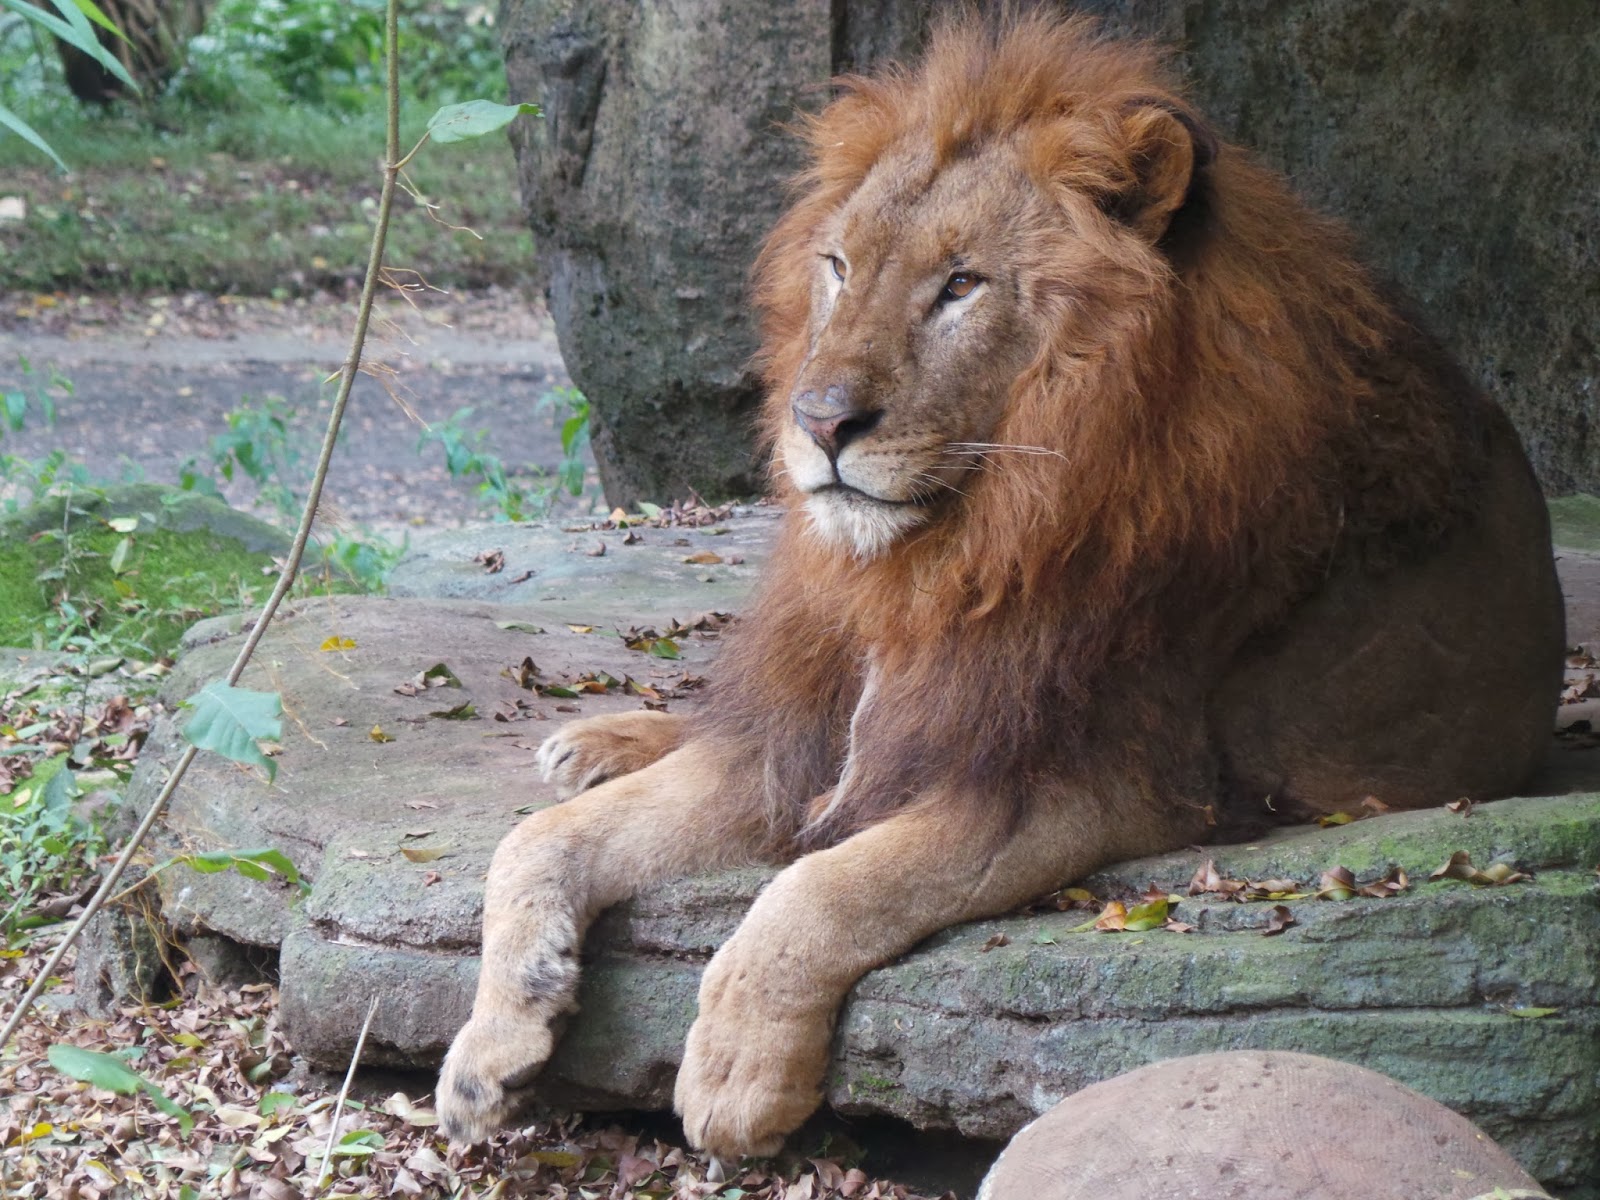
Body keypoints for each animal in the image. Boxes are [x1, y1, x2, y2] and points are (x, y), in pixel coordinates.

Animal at [435, 14, 1561, 1164]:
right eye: (838, 266)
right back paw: (599, 742)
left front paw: (736, 1073)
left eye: (961, 286)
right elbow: (538, 844)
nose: (819, 422)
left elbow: (822, 885)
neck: (953, 553)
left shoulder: (1078, 780)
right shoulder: (803, 735)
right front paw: (487, 1053)